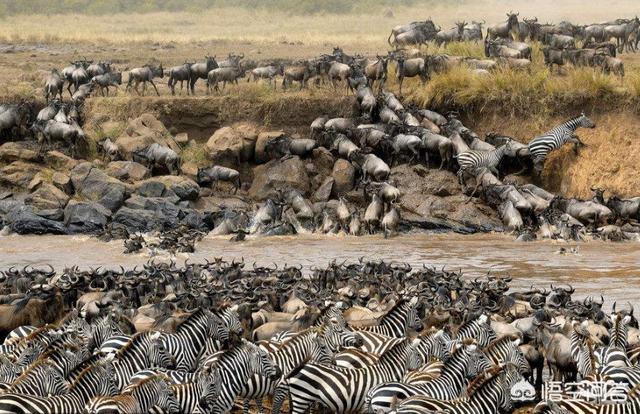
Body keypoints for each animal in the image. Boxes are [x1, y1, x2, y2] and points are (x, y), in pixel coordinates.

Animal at [270, 340, 424, 414]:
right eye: (417, 354)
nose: (421, 367)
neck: (386, 371)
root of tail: (301, 366)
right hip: (302, 397)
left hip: (301, 398)